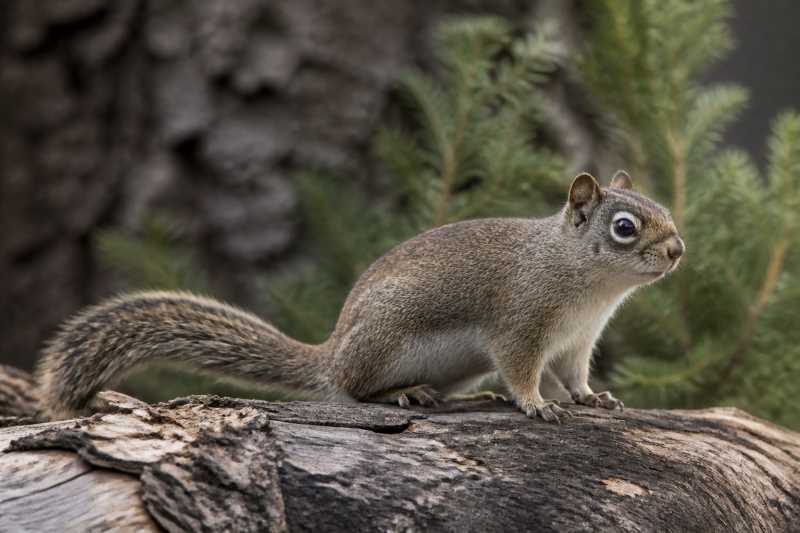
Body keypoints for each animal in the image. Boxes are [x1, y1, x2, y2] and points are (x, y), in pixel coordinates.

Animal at [36, 171, 684, 423]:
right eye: (625, 227)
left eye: (664, 208)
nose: (678, 250)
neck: (587, 285)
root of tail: (332, 350)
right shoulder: (520, 325)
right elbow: (523, 372)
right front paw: (535, 405)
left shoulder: (578, 341)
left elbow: (574, 376)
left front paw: (592, 398)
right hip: (385, 340)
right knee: (349, 390)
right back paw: (402, 394)